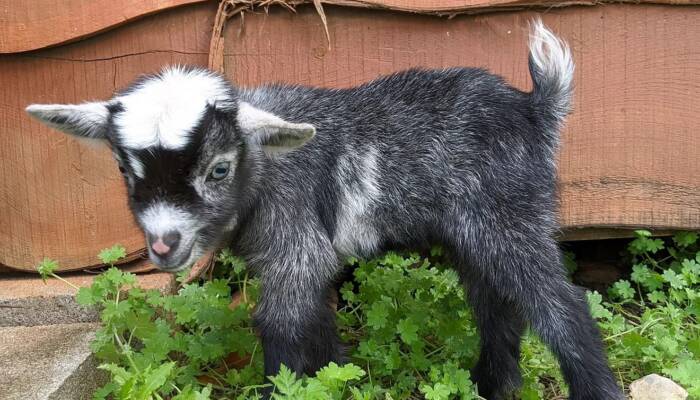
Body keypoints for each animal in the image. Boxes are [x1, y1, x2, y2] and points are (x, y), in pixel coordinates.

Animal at [27, 19, 623, 399]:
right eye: (124, 169)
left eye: (219, 169)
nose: (163, 245)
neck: (264, 169)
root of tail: (534, 108)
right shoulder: (306, 260)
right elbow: (317, 322)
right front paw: (338, 373)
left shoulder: (296, 243)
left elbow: (280, 322)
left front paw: (281, 389)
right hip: (480, 230)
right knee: (496, 304)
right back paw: (489, 386)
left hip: (509, 217)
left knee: (561, 304)